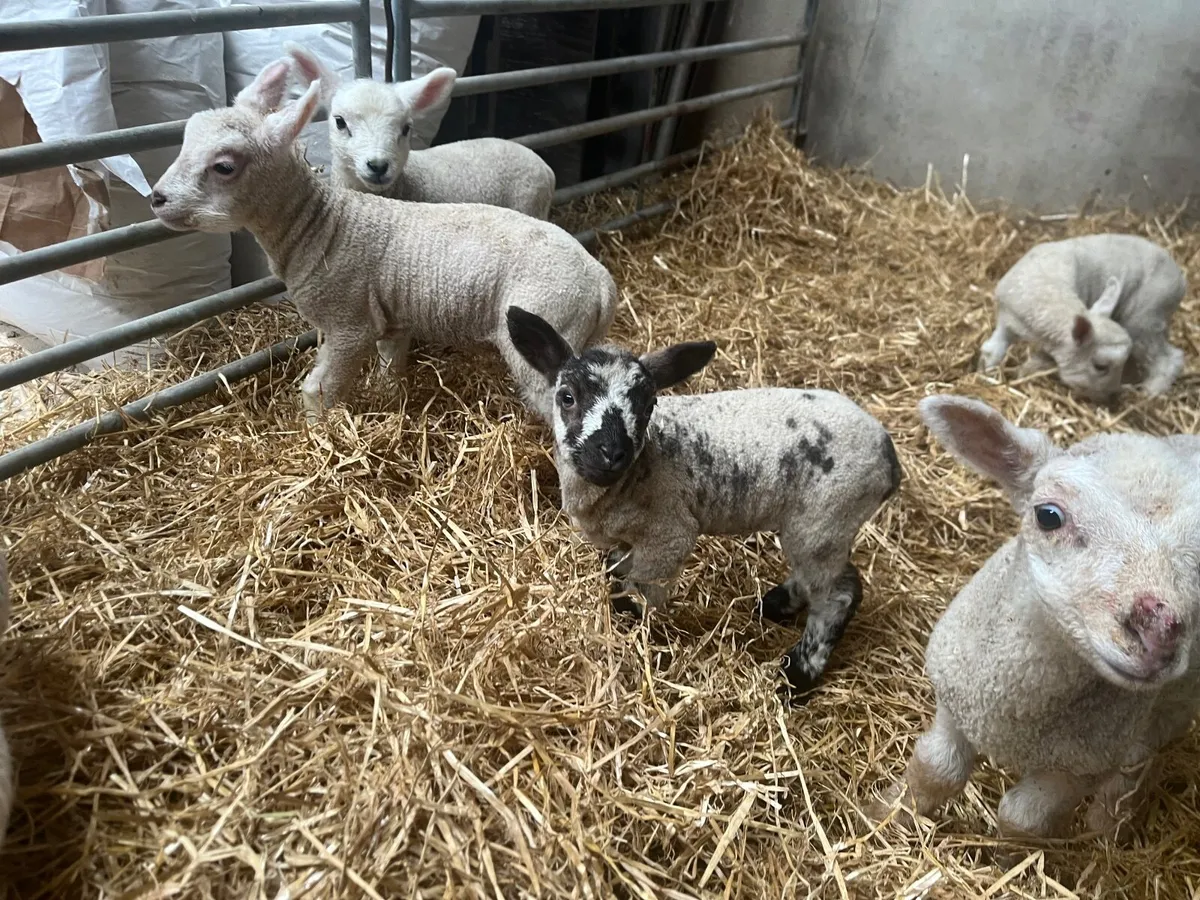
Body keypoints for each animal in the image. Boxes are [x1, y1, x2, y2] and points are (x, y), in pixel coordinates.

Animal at [505, 306, 902, 695]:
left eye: (648, 407)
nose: (612, 453)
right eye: (567, 396)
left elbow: (642, 589)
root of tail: (888, 455)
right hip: (822, 528)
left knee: (838, 596)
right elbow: (616, 569)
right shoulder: (625, 539)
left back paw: (797, 675)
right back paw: (774, 606)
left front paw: (633, 628)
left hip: (824, 520)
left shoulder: (669, 535)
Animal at [886, 394, 1200, 839]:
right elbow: (935, 769)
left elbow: (1021, 818)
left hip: (1171, 707)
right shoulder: (954, 700)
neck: (1012, 710)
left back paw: (1108, 827)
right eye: (1048, 515)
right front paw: (884, 814)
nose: (1158, 632)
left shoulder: (1078, 767)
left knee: (1139, 760)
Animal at [978, 233, 1186, 403]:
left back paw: (1150, 392)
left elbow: (1038, 362)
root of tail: (1181, 280)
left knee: (1171, 357)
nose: (1111, 399)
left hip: (1146, 318)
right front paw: (986, 370)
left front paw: (1021, 375)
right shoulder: (1008, 317)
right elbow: (993, 349)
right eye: (1100, 366)